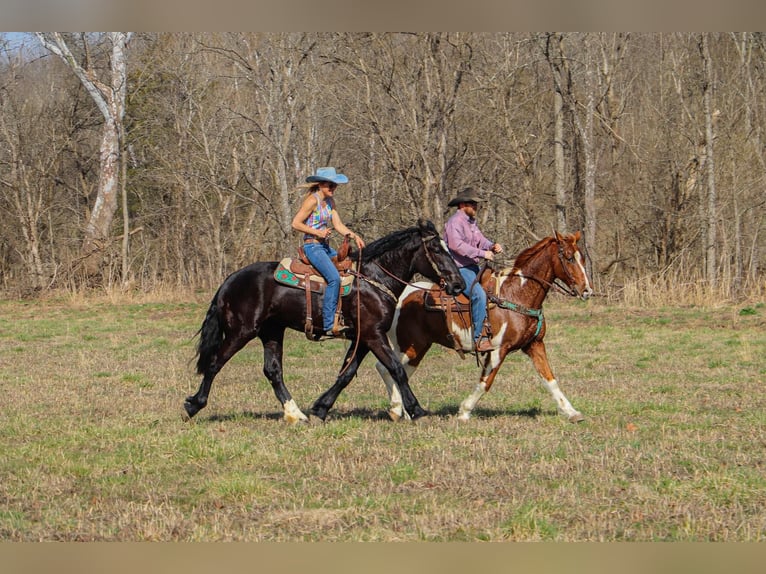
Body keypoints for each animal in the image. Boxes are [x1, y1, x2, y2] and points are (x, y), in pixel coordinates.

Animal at [184, 218, 468, 426]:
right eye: (435, 249)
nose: (458, 285)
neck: (373, 280)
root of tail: (230, 280)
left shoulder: (362, 338)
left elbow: (346, 374)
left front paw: (320, 409)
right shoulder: (373, 335)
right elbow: (396, 368)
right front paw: (416, 410)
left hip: (272, 332)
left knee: (273, 371)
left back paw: (296, 414)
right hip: (241, 331)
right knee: (215, 363)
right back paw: (193, 405)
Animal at [376, 232, 592, 426]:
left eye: (581, 257)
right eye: (569, 257)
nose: (587, 291)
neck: (516, 293)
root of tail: (401, 295)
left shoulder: (535, 345)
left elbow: (550, 379)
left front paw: (572, 412)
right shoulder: (498, 350)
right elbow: (486, 382)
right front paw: (464, 412)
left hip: (419, 347)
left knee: (402, 372)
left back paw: (405, 411)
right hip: (408, 345)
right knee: (386, 368)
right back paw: (396, 408)